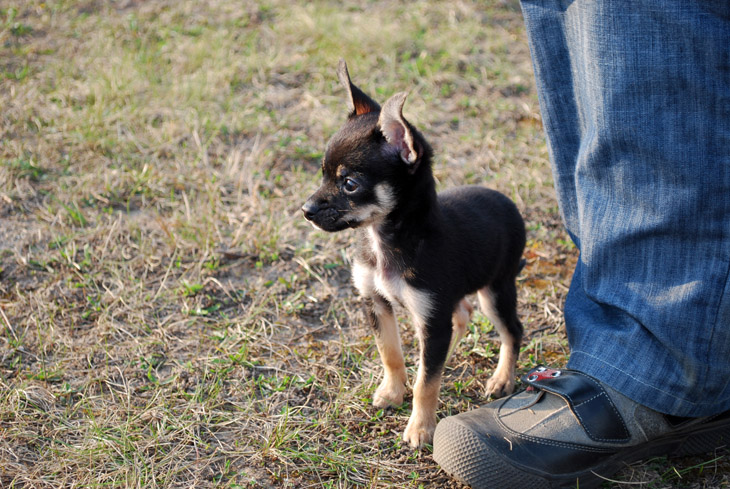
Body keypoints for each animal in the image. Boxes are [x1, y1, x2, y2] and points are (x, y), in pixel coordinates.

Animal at [302, 60, 524, 446]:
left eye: (349, 184)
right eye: (323, 174)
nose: (306, 210)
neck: (383, 241)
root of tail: (508, 202)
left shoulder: (430, 315)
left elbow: (426, 384)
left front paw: (420, 427)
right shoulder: (377, 302)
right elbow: (390, 353)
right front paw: (392, 392)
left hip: (495, 291)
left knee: (512, 331)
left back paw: (501, 378)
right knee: (458, 319)